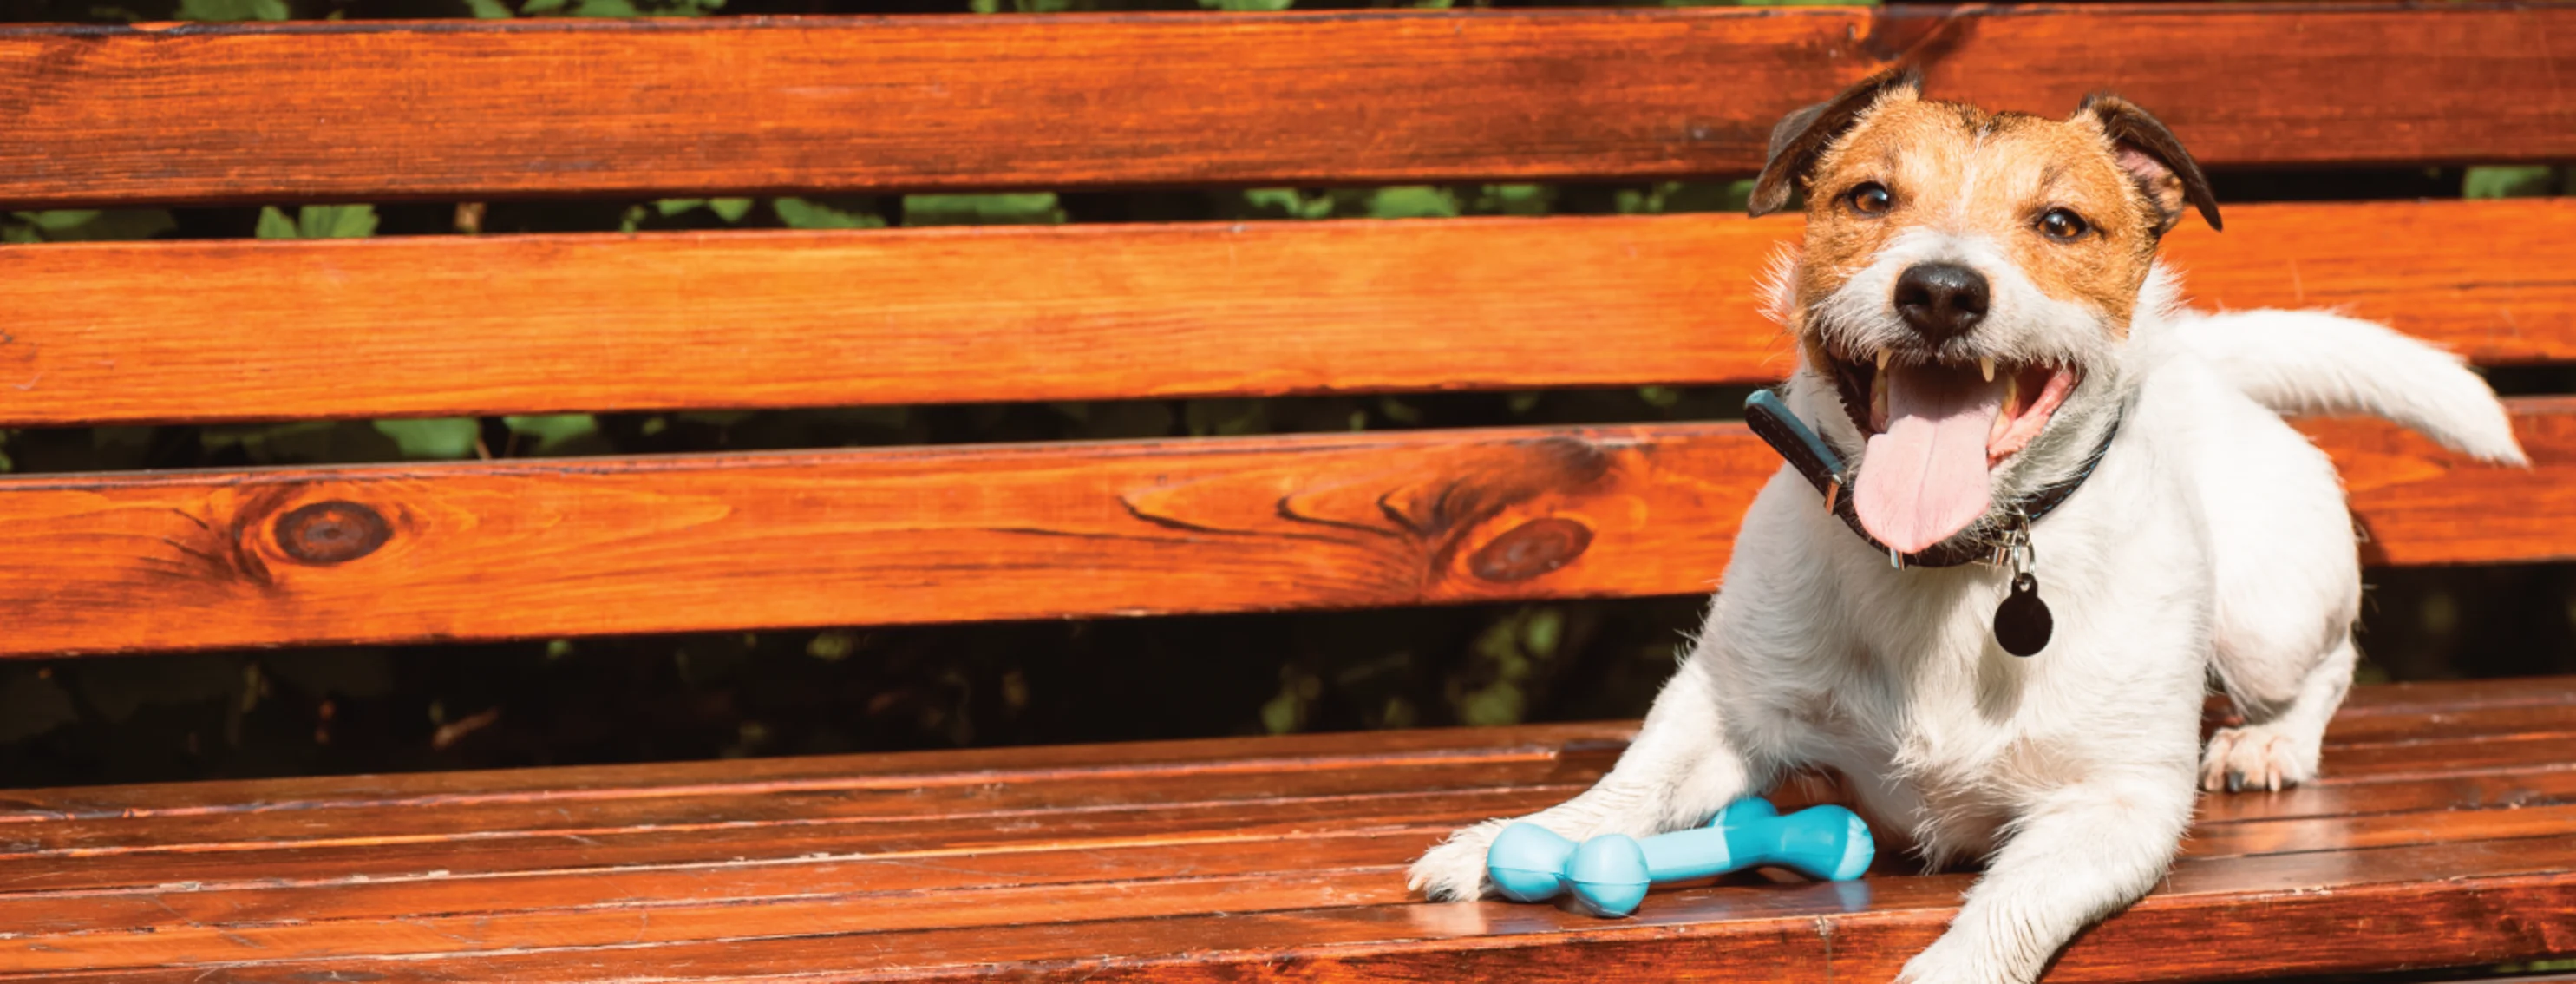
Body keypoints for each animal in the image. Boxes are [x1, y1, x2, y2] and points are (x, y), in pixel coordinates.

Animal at [1401, 71, 2524, 984]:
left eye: (2063, 223)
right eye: (1870, 198)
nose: (1940, 289)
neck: (1945, 565)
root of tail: (2199, 363)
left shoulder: (2114, 807)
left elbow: (2009, 909)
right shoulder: (1723, 710)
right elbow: (1627, 788)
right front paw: (1514, 840)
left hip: (2268, 622)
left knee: (2329, 668)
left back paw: (2269, 744)